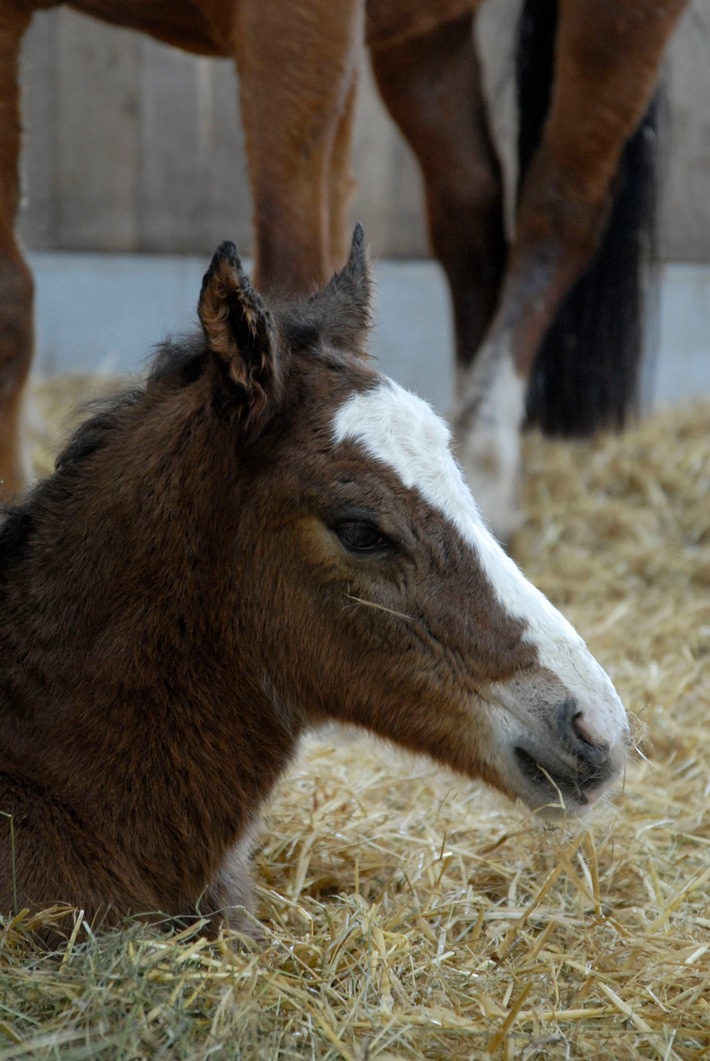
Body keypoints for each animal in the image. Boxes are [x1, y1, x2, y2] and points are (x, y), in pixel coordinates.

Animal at [0, 0, 687, 530]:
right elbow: (12, 299)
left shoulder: (301, 24)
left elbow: (295, 277)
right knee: (470, 203)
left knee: (559, 209)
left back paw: (487, 465)